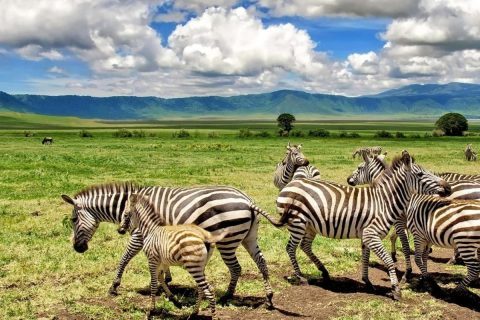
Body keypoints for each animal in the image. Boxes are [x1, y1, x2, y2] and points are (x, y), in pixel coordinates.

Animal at [61, 182, 284, 308]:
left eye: (73, 220)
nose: (78, 248)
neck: (131, 205)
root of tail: (247, 200)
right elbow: (161, 263)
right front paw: (167, 279)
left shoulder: (139, 235)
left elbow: (124, 258)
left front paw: (114, 286)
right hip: (249, 237)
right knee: (261, 262)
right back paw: (269, 297)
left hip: (227, 241)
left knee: (236, 268)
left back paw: (227, 296)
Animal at [276, 151, 448, 300]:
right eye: (420, 175)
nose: (448, 188)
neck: (384, 202)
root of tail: (291, 183)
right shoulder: (371, 234)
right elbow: (389, 260)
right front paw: (396, 289)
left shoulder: (366, 235)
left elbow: (365, 258)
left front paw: (367, 282)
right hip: (297, 223)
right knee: (290, 248)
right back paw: (300, 276)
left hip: (310, 226)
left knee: (305, 246)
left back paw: (324, 271)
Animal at [346, 154, 480, 262]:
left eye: (359, 167)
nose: (348, 180)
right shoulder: (404, 220)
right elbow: (396, 236)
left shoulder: (398, 220)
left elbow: (399, 238)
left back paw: (454, 259)